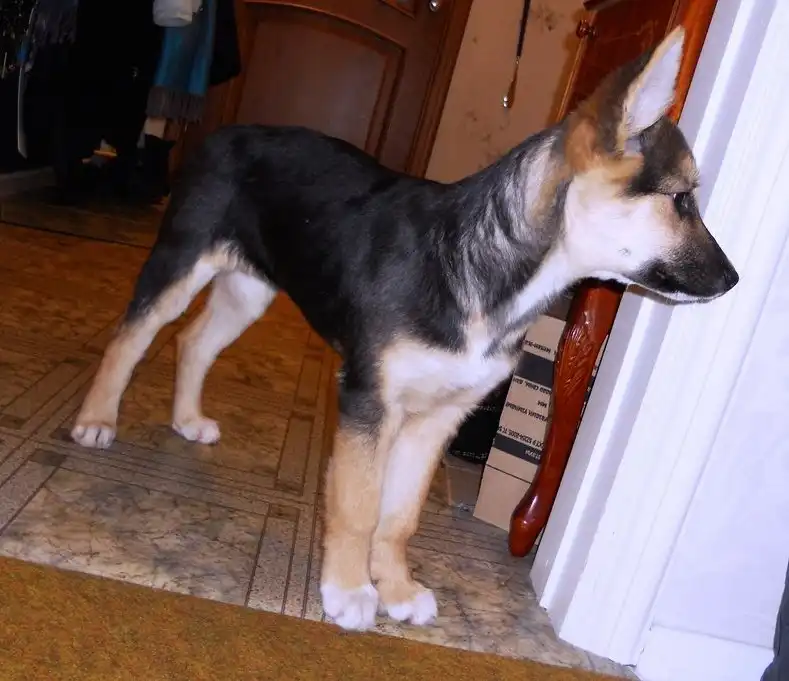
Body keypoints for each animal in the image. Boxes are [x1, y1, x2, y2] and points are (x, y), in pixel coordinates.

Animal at [70, 26, 739, 631]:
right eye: (681, 200)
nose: (733, 281)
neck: (487, 274)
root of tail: (225, 131)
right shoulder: (371, 402)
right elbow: (359, 506)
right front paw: (348, 591)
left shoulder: (438, 418)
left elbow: (399, 517)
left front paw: (393, 587)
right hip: (181, 259)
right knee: (130, 338)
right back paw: (96, 419)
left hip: (248, 288)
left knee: (194, 341)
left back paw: (186, 418)